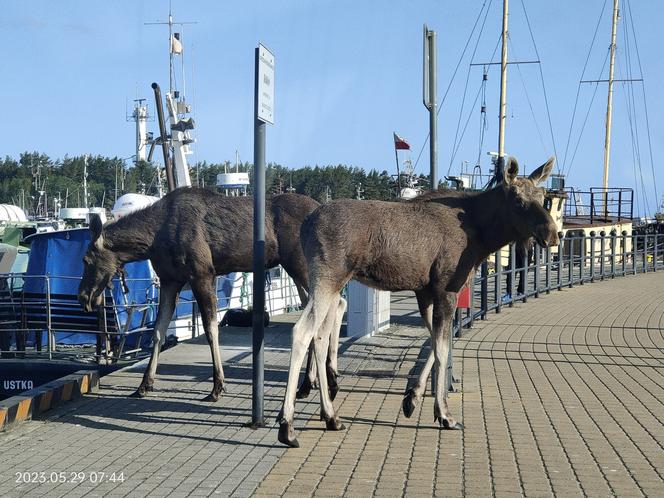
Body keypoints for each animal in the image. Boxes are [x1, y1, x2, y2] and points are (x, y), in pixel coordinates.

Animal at [79, 187, 342, 400]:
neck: (151, 240)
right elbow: (158, 331)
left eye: (86, 259)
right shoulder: (170, 280)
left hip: (302, 265)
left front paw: (218, 386)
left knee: (336, 304)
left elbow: (211, 329)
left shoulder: (202, 274)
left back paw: (324, 381)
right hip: (297, 269)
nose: (83, 297)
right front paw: (144, 384)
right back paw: (310, 383)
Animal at [276, 157, 560, 448]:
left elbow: (435, 342)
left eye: (543, 197)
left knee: (320, 338)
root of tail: (307, 224)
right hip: (327, 277)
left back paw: (331, 416)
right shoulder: (446, 289)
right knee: (302, 332)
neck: (482, 237)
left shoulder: (425, 292)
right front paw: (444, 414)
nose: (552, 234)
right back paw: (287, 426)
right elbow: (443, 348)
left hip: (331, 284)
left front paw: (412, 398)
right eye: (517, 199)